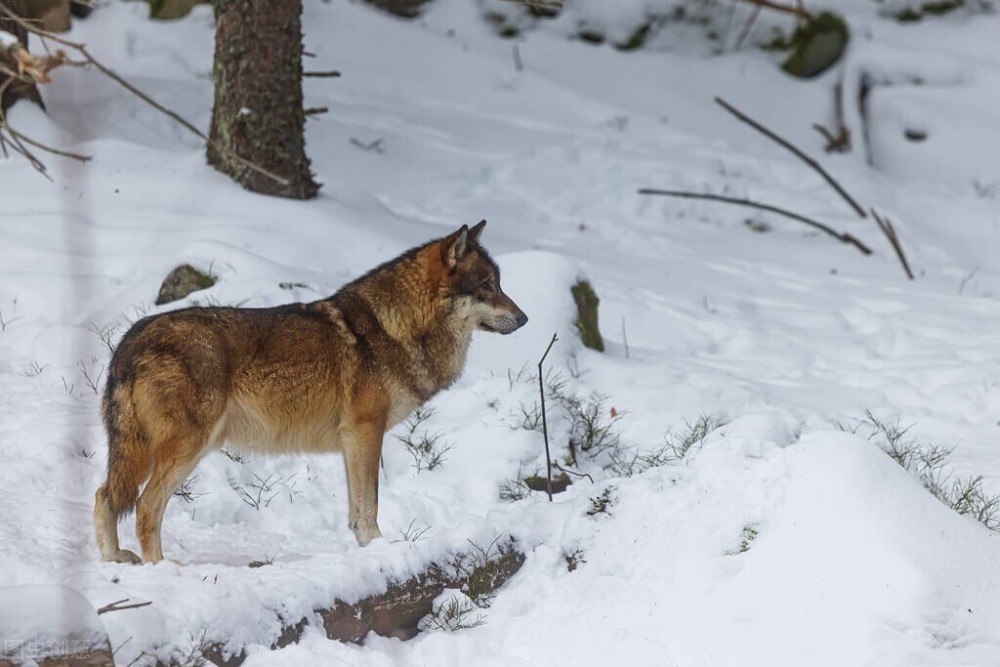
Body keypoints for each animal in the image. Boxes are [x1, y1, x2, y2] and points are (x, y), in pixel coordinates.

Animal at [94, 220, 528, 564]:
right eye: (487, 286)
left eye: (500, 284)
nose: (524, 318)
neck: (395, 327)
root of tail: (130, 339)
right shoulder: (365, 431)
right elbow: (370, 505)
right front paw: (380, 548)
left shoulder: (352, 441)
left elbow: (356, 510)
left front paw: (366, 549)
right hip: (187, 448)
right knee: (145, 506)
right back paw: (163, 568)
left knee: (104, 496)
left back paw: (115, 559)